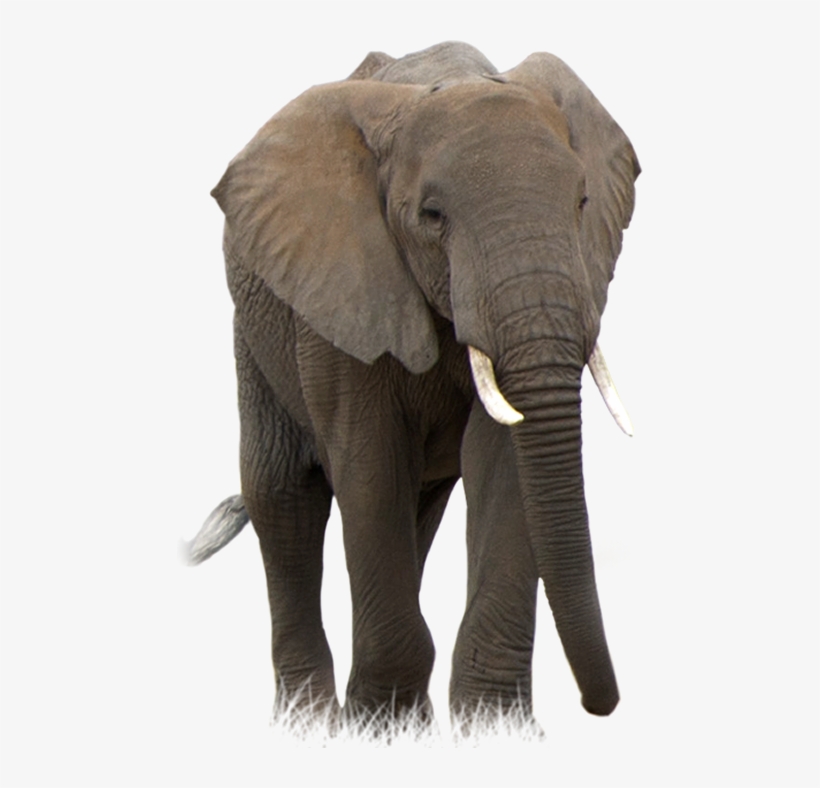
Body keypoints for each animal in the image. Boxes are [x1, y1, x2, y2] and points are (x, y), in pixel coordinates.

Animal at [186, 42, 639, 730]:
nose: (601, 705)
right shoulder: (344, 282)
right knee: (281, 494)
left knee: (417, 510)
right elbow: (370, 464)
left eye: (583, 202)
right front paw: (378, 729)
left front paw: (495, 731)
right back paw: (309, 725)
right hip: (256, 328)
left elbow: (503, 462)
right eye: (432, 216)